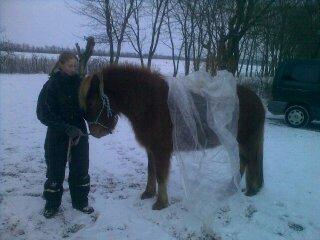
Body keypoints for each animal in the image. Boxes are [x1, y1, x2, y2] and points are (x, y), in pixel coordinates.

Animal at [78, 63, 264, 210]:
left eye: (92, 102)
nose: (95, 132)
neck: (150, 104)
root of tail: (258, 100)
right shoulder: (151, 148)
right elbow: (151, 171)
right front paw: (148, 193)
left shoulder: (161, 150)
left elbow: (161, 174)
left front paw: (161, 203)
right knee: (243, 160)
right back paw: (231, 188)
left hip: (246, 140)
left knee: (251, 160)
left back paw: (251, 191)